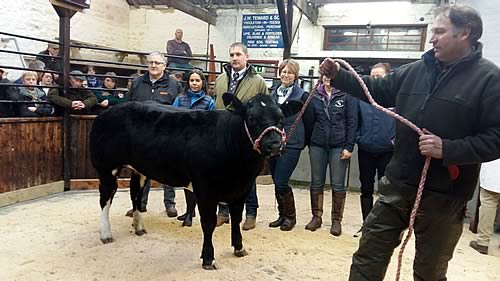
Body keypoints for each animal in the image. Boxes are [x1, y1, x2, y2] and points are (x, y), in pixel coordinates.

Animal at [89, 93, 296, 270]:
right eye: (251, 118)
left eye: (281, 118)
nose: (275, 145)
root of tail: (108, 112)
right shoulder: (206, 190)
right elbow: (208, 223)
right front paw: (208, 259)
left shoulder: (242, 189)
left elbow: (237, 219)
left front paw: (239, 248)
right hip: (106, 167)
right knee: (105, 198)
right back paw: (106, 234)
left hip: (139, 169)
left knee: (136, 196)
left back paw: (139, 227)